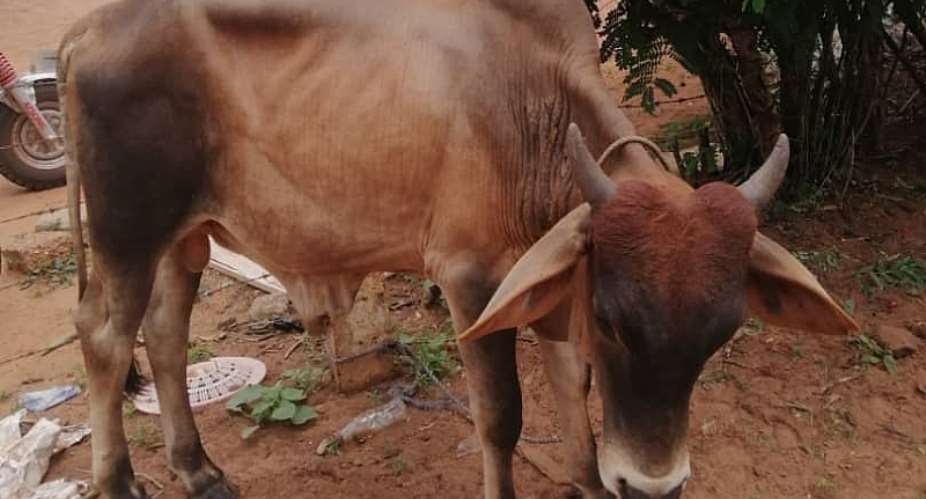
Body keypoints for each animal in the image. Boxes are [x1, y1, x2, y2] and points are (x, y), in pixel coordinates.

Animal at [58, 0, 857, 498]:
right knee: (103, 339)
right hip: (127, 231)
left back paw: (197, 470)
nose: (653, 485)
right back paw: (118, 480)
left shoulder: (548, 272)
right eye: (611, 322)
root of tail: (89, 29)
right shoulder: (472, 279)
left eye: (723, 334)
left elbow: (571, 383)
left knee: (164, 337)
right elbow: (502, 416)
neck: (532, 109)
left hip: (183, 237)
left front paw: (589, 479)